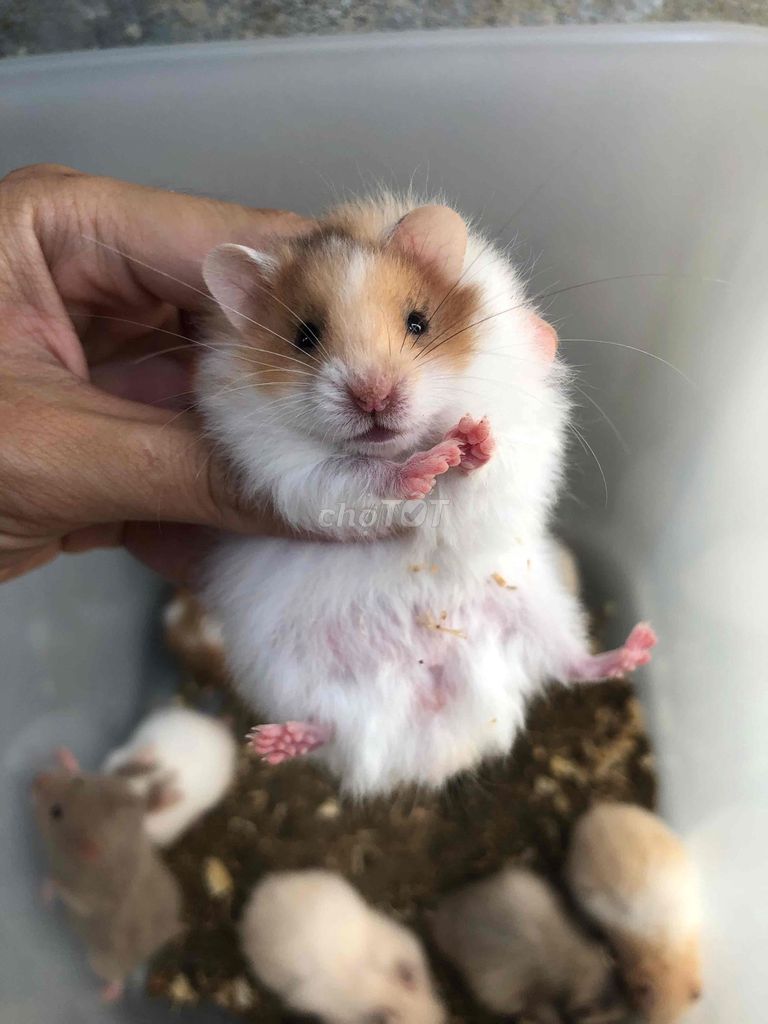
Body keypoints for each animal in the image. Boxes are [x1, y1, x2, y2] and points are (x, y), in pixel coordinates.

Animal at [32, 750, 183, 1002]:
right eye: (78, 781)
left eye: (56, 812)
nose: (36, 779)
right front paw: (64, 755)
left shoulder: (78, 891)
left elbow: (55, 883)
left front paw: (43, 896)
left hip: (102, 961)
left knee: (117, 977)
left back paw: (107, 995)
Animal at [197, 193, 657, 797]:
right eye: (304, 337)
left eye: (419, 322)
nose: (373, 397)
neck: (398, 442)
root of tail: (434, 734)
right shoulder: (285, 469)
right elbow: (356, 477)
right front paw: (425, 468)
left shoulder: (518, 428)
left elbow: (481, 470)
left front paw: (470, 442)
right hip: (282, 666)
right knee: (328, 725)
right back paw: (275, 742)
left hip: (540, 608)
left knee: (573, 665)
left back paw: (637, 647)